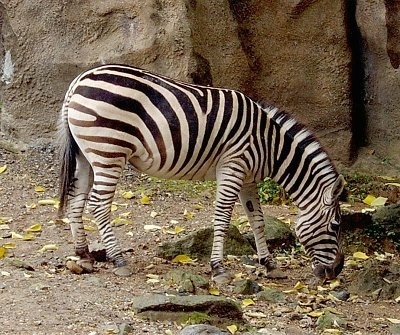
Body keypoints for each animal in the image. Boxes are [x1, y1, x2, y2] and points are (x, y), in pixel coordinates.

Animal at [57, 63, 346, 284]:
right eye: (335, 225)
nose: (336, 271)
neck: (270, 144)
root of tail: (78, 82)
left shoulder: (248, 178)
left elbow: (257, 219)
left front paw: (268, 263)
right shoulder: (233, 165)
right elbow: (223, 218)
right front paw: (218, 268)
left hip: (86, 155)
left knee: (76, 200)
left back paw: (84, 254)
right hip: (108, 151)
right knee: (98, 204)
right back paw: (118, 258)